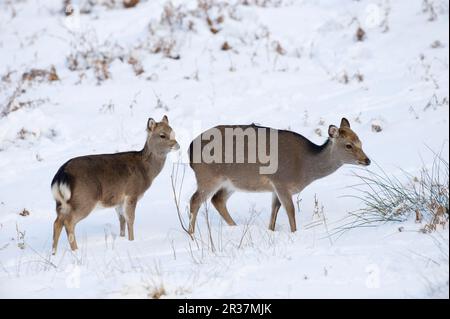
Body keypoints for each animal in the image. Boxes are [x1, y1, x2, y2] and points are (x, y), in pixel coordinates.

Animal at [50, 116, 179, 254]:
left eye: (173, 132)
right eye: (162, 135)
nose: (177, 145)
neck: (145, 170)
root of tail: (61, 175)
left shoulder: (119, 200)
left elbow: (122, 219)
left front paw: (123, 238)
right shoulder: (132, 193)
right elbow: (130, 220)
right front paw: (131, 242)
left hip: (61, 203)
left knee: (57, 222)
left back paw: (54, 253)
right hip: (83, 199)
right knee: (68, 222)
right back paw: (75, 250)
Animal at [188, 117, 370, 235]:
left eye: (361, 142)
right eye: (348, 145)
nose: (367, 160)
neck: (305, 167)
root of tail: (190, 149)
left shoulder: (275, 188)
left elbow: (275, 211)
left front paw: (271, 232)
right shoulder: (281, 181)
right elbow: (290, 211)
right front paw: (294, 234)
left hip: (229, 183)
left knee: (217, 200)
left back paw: (235, 227)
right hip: (208, 177)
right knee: (195, 200)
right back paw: (191, 234)